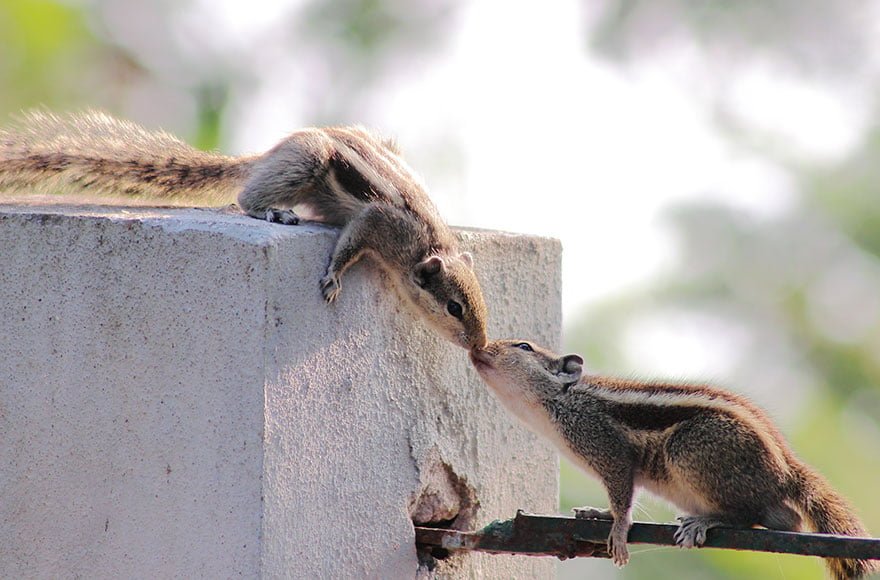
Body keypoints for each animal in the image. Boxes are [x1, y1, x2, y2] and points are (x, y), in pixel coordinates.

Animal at [0, 111, 488, 352]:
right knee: (245, 197)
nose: (479, 346)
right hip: (307, 164)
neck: (430, 242)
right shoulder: (380, 223)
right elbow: (350, 243)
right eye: (455, 308)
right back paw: (272, 211)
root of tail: (271, 152)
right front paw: (333, 278)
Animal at [468, 338, 872, 576]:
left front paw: (617, 529)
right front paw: (598, 513)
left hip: (690, 449)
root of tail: (788, 468)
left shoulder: (606, 447)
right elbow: (621, 496)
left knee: (769, 516)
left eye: (523, 346)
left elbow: (623, 493)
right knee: (785, 520)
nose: (478, 349)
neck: (562, 402)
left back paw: (708, 520)